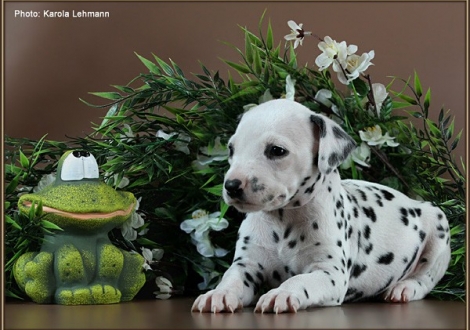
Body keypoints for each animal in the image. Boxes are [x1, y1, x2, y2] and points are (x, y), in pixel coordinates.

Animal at [191, 98, 452, 314]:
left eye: (276, 150)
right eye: (231, 149)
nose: (231, 186)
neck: (283, 220)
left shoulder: (329, 273)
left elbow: (300, 280)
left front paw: (282, 293)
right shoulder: (247, 264)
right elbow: (231, 278)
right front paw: (218, 293)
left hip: (439, 230)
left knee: (425, 279)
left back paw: (403, 288)